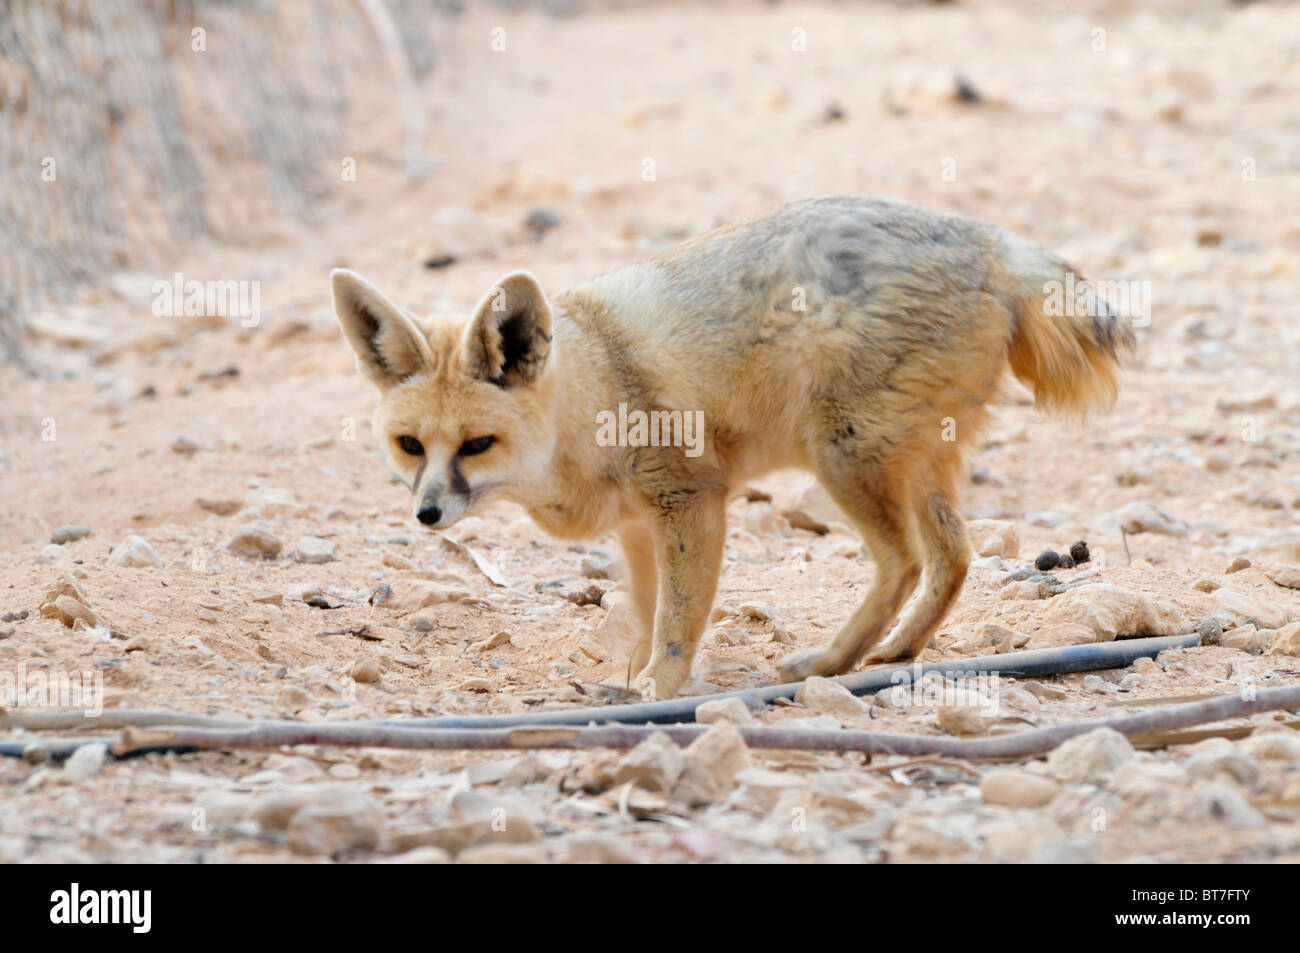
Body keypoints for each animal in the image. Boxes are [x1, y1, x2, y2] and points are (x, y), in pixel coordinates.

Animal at [331, 196, 1134, 699]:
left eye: (477, 443)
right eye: (410, 446)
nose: (427, 515)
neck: (595, 380)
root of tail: (985, 239)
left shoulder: (691, 500)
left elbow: (678, 622)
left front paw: (658, 688)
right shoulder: (639, 524)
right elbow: (649, 611)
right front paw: (631, 677)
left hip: (843, 459)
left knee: (904, 561)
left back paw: (834, 661)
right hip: (911, 465)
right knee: (953, 557)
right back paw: (895, 654)